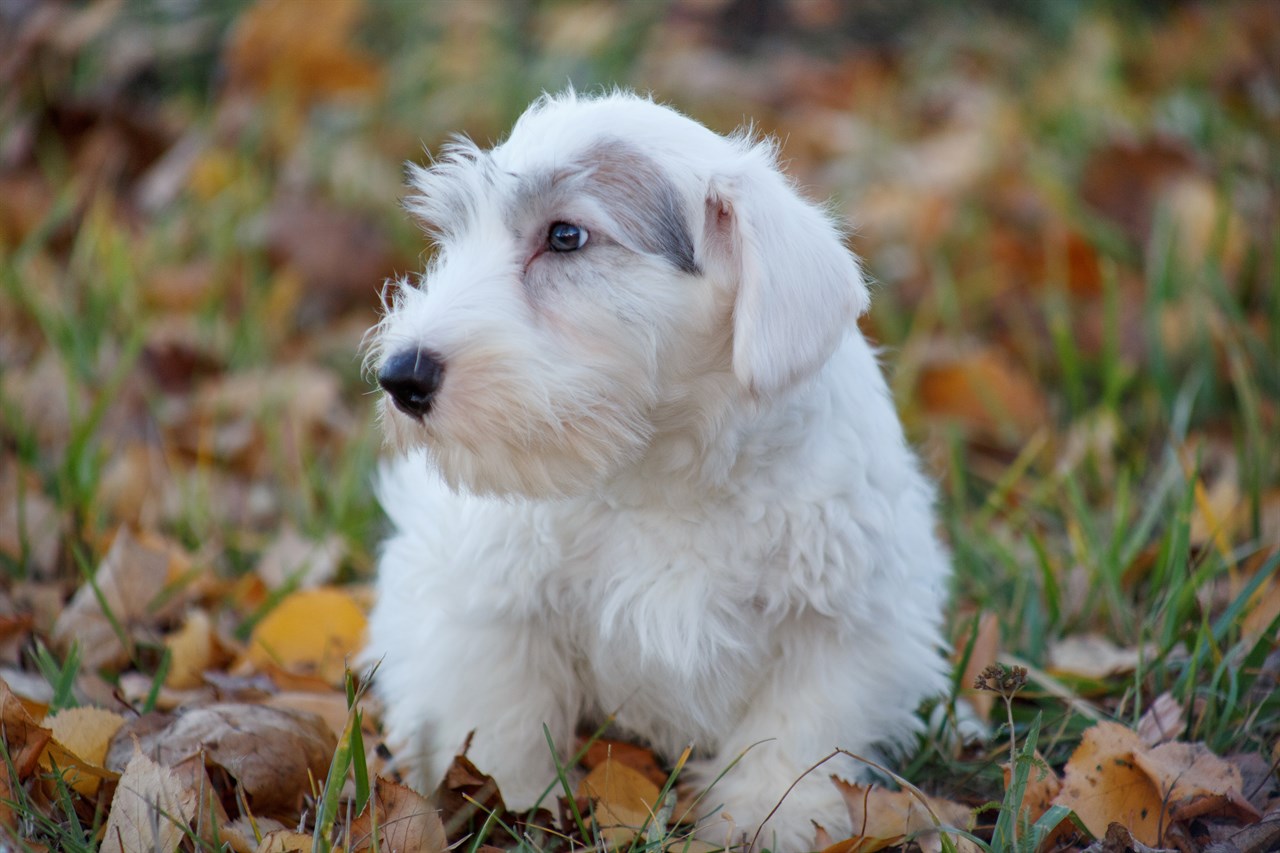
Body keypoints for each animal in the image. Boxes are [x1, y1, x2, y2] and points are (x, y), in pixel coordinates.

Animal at [360, 89, 952, 845]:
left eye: (565, 237)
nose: (400, 376)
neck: (659, 471)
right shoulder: (492, 605)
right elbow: (501, 717)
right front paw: (506, 803)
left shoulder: (841, 623)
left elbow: (796, 733)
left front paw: (767, 820)